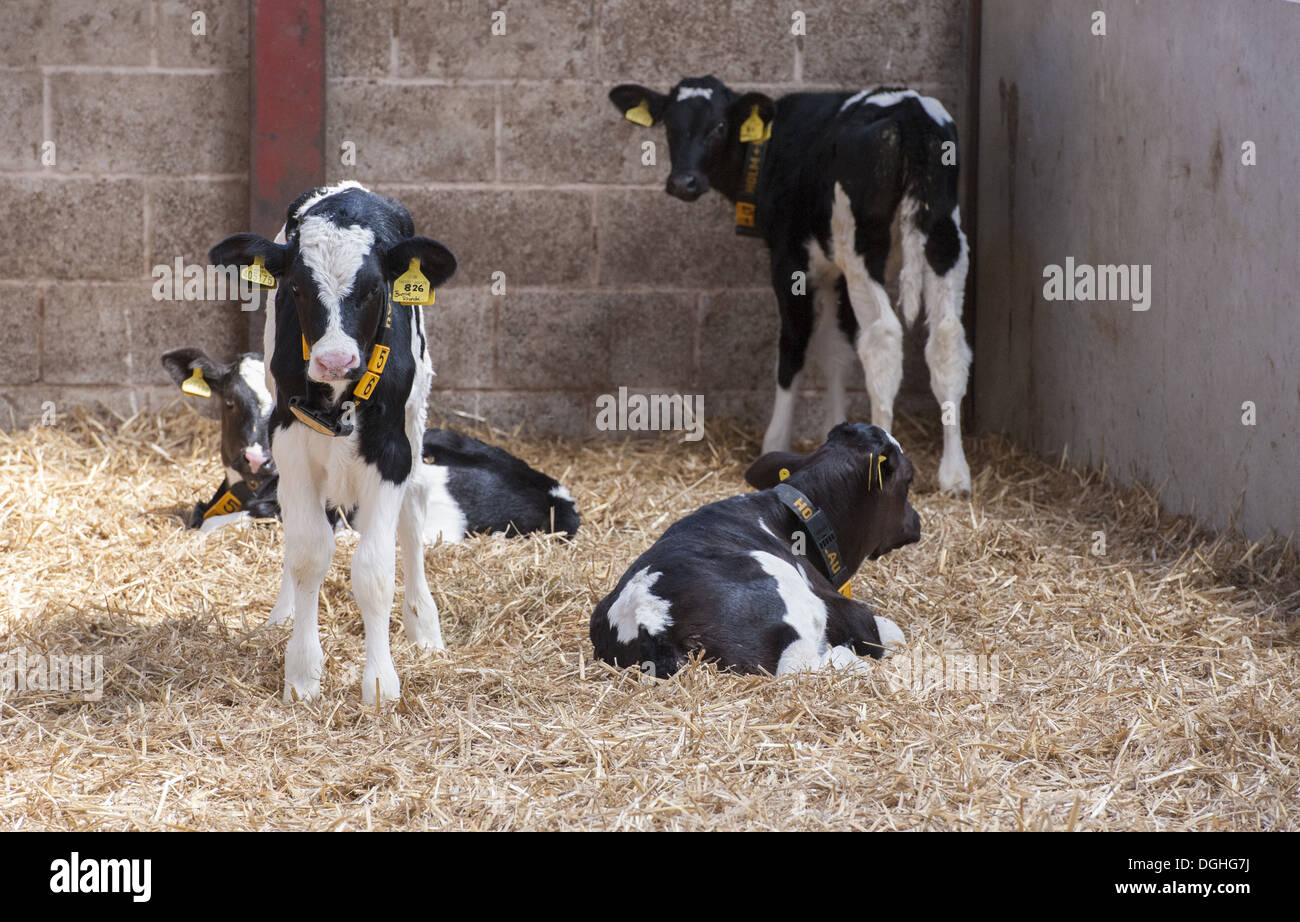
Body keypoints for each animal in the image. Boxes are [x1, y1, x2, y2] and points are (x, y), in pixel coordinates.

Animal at [209, 181, 456, 704]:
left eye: (374, 289)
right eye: (297, 288)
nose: (335, 359)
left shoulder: (392, 452)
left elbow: (375, 570)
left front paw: (380, 682)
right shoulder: (288, 439)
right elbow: (307, 554)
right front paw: (302, 672)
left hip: (416, 414)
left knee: (413, 513)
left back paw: (423, 626)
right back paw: (283, 615)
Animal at [590, 422, 919, 678]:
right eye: (909, 479)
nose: (916, 520)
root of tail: (647, 617)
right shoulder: (850, 613)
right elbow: (891, 633)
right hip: (792, 599)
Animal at [608, 75, 973, 495]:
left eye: (719, 126)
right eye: (669, 124)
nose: (683, 182)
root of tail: (908, 107)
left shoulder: (789, 261)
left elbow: (793, 347)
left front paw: (775, 442)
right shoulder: (834, 272)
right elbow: (836, 350)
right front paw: (836, 429)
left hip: (861, 241)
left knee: (883, 336)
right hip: (944, 233)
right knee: (947, 338)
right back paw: (955, 474)